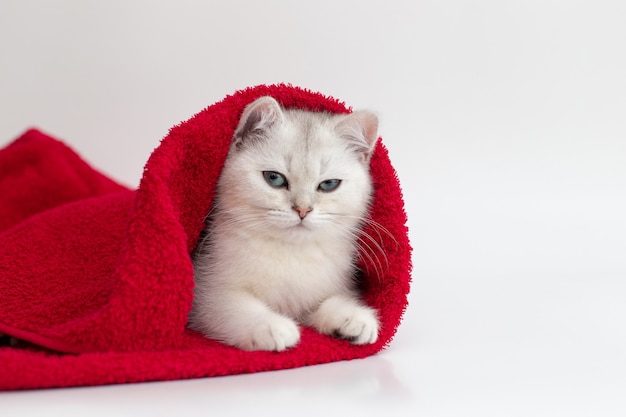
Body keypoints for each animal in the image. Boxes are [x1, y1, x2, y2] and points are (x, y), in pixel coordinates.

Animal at [188, 96, 378, 350]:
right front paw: (270, 327)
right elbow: (231, 306)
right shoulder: (204, 291)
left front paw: (353, 317)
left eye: (329, 184)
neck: (290, 252)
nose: (303, 209)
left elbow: (325, 301)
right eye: (274, 178)